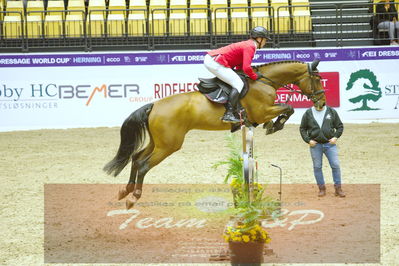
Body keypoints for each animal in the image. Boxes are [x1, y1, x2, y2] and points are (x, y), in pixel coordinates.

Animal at [104, 59, 326, 209]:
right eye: (317, 79)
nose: (322, 103)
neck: (265, 82)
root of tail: (154, 105)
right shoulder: (263, 110)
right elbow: (288, 108)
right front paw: (275, 125)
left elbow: (284, 110)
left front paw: (272, 125)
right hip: (168, 145)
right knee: (143, 164)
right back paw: (133, 197)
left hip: (158, 142)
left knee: (135, 158)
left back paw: (125, 190)